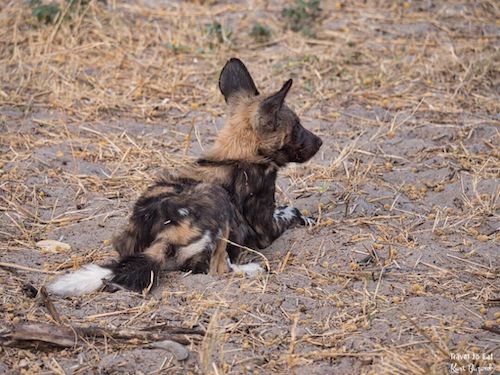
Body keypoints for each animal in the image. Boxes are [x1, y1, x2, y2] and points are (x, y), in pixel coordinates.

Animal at [48, 58, 322, 296]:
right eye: (297, 127)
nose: (320, 141)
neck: (237, 153)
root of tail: (166, 233)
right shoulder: (266, 225)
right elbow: (291, 211)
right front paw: (305, 218)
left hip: (126, 238)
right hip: (218, 200)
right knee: (217, 269)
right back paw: (251, 269)